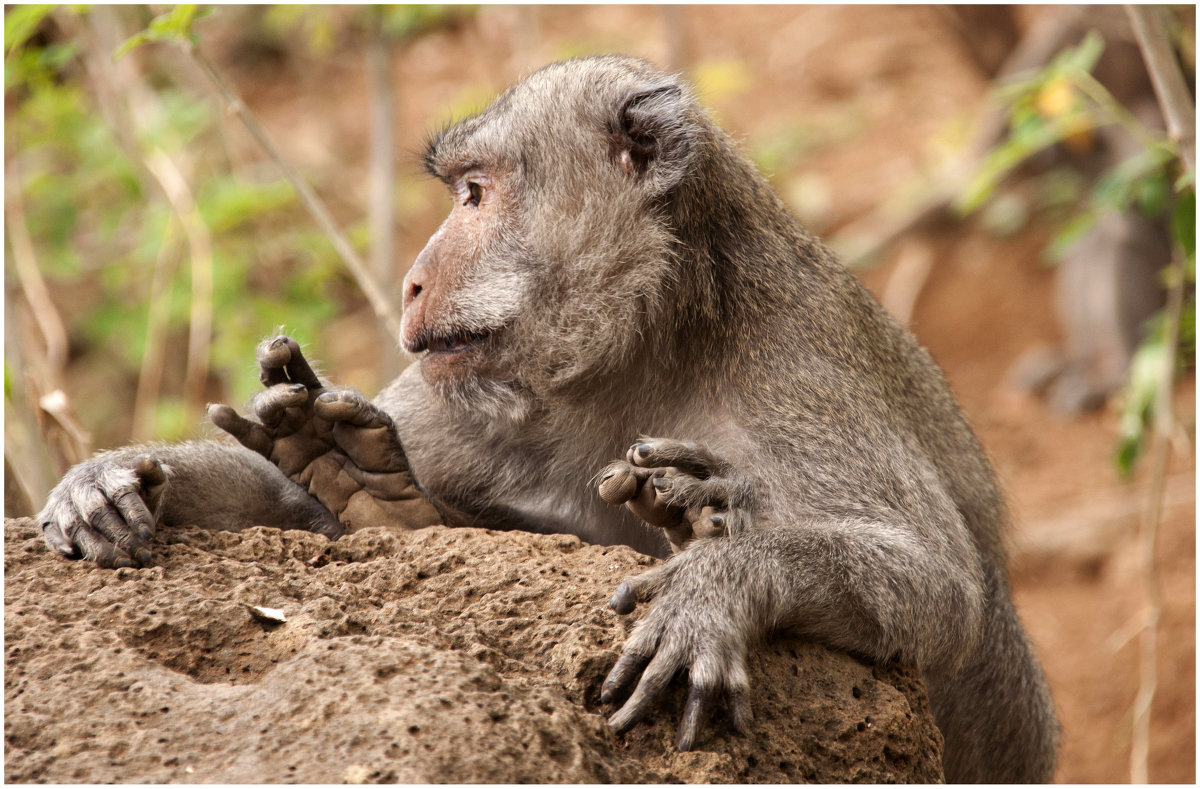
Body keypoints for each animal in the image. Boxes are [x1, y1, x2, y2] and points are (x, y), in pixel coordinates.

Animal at [32, 56, 1056, 781]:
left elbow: (944, 592)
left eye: (476, 193)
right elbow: (293, 512)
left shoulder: (800, 366)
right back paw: (374, 486)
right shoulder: (467, 389)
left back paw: (698, 515)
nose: (413, 279)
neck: (643, 342)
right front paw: (112, 480)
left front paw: (717, 581)